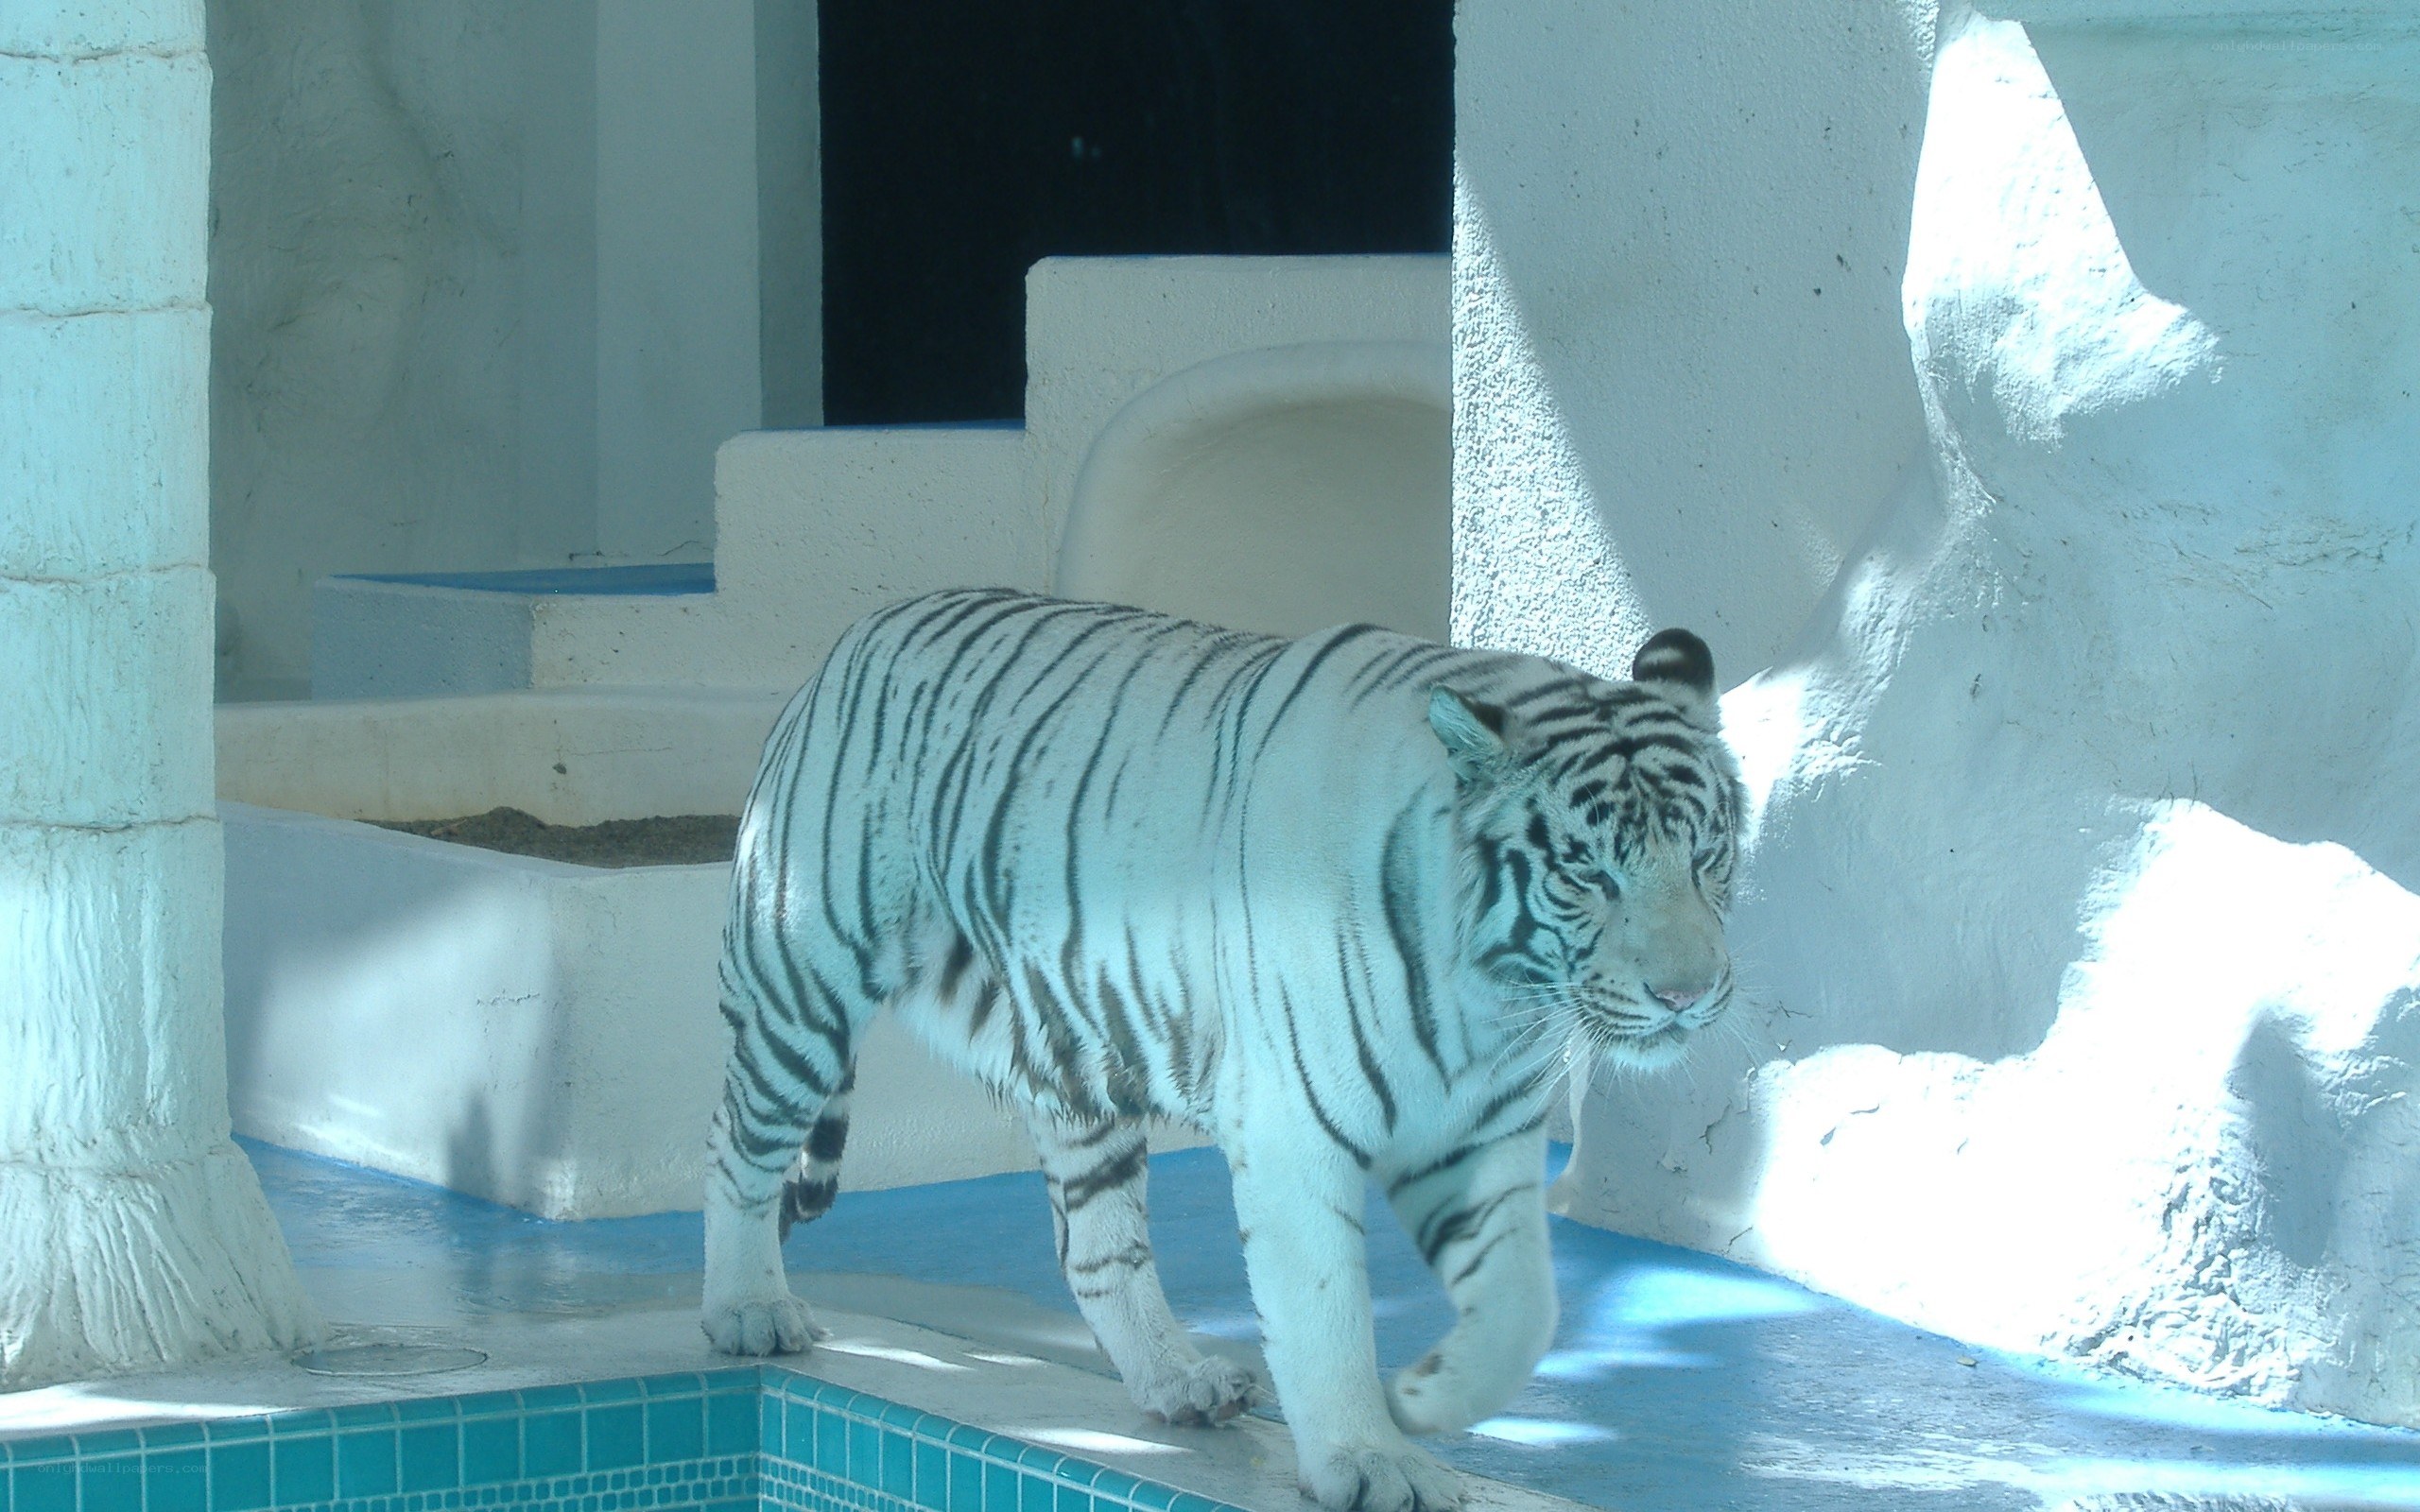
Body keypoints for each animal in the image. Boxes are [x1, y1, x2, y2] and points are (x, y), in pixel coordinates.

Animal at [701, 589, 1743, 1512]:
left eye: (1707, 858)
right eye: (1587, 874)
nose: (1686, 995)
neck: (1489, 995)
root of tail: (861, 630)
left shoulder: (1483, 1134)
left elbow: (1524, 1301)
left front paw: (1434, 1392)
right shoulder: (1294, 1129)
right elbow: (1323, 1308)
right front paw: (1369, 1460)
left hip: (1077, 1052)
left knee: (1097, 1246)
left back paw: (1175, 1379)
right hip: (802, 978)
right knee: (736, 1144)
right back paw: (749, 1309)